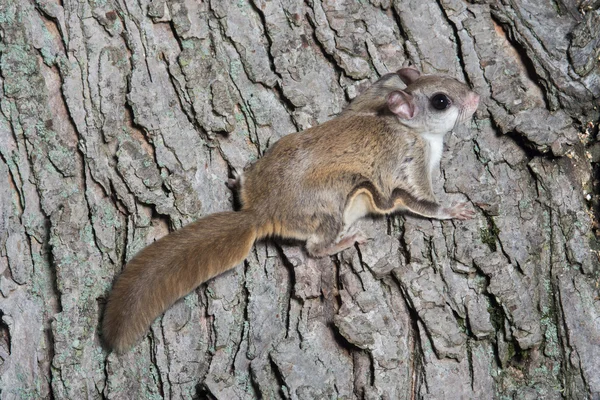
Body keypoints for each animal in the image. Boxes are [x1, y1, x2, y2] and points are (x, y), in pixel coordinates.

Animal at [102, 67, 478, 352]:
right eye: (441, 101)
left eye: (446, 76)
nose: (476, 97)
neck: (407, 127)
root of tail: (261, 213)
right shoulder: (409, 165)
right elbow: (421, 202)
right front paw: (454, 210)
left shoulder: (370, 102)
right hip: (332, 203)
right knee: (315, 247)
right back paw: (344, 240)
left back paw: (238, 178)